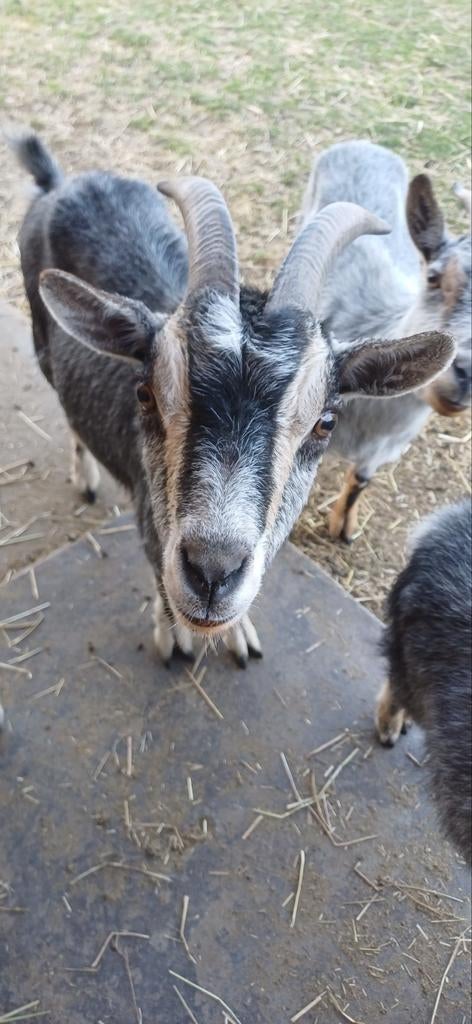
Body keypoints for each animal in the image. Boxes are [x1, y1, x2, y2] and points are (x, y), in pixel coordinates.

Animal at [10, 131, 454, 667]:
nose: (212, 571)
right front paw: (171, 638)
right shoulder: (149, 517)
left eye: (325, 423)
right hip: (40, 336)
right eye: (145, 394)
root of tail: (57, 182)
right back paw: (86, 478)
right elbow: (158, 572)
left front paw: (239, 632)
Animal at [302, 140, 471, 542]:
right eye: (434, 278)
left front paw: (344, 527)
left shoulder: (383, 452)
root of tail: (364, 142)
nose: (465, 374)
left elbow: (360, 481)